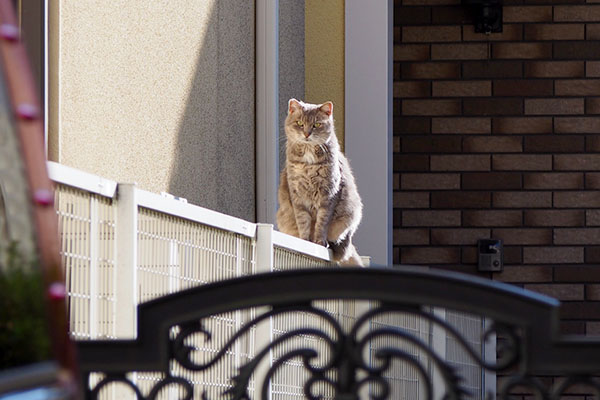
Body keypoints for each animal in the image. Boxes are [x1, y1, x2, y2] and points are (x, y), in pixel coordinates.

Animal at [278, 97, 366, 266]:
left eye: (316, 125)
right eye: (299, 123)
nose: (306, 134)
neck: (308, 164)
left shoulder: (328, 194)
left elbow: (321, 222)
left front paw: (319, 241)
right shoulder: (297, 195)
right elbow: (303, 221)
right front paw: (305, 241)